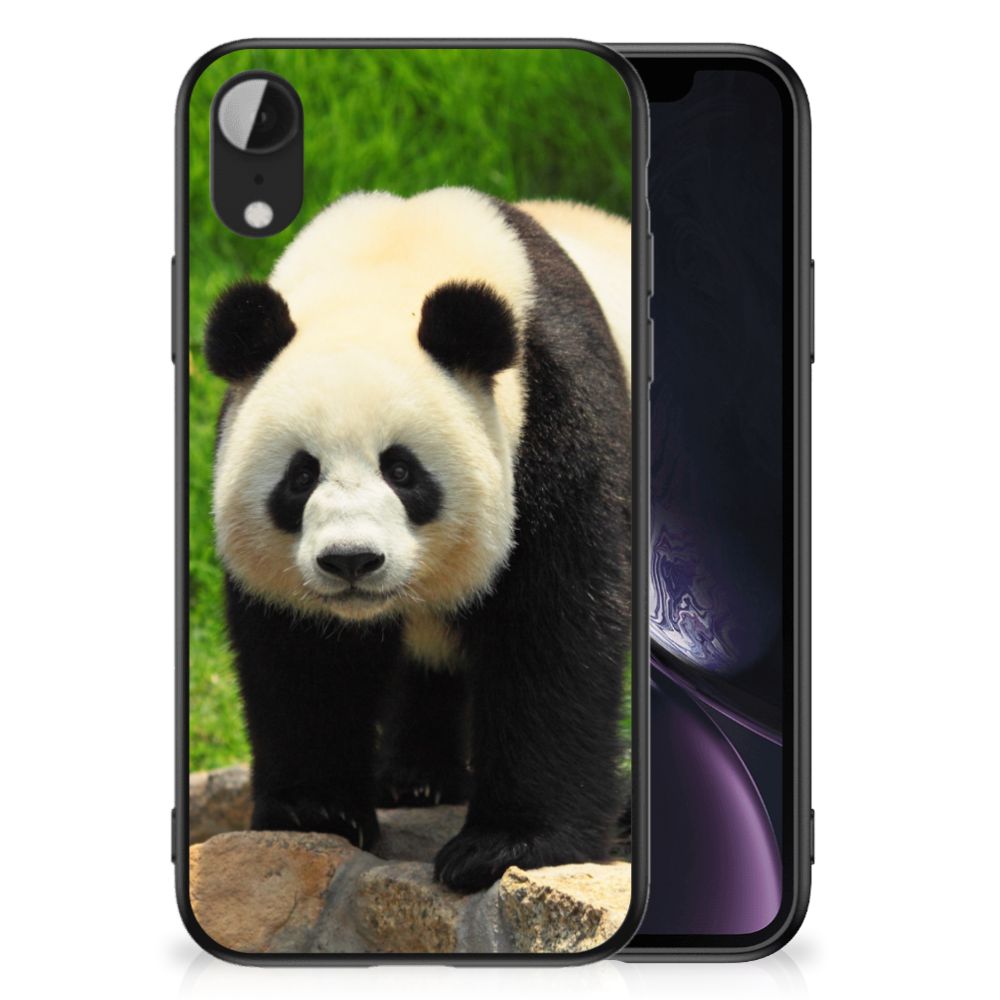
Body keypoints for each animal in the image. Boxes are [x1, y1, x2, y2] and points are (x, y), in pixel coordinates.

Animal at [205, 187, 632, 892]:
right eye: (300, 476)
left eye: (402, 471)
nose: (351, 561)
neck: (390, 261)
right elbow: (302, 654)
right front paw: (315, 811)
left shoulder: (557, 417)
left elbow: (554, 630)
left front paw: (505, 846)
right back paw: (415, 779)